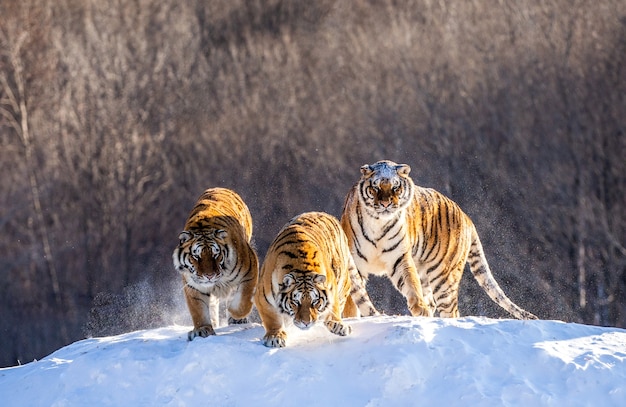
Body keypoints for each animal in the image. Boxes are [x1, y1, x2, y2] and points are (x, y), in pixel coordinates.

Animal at [172, 188, 258, 342]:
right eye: (196, 256)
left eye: (215, 255)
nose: (209, 276)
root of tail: (220, 188)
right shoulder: (193, 285)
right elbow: (198, 310)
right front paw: (203, 330)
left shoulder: (250, 271)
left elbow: (244, 300)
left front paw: (235, 314)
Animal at [254, 212, 376, 350]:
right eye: (296, 302)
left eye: (315, 301)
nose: (306, 323)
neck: (301, 267)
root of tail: (329, 215)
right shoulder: (263, 298)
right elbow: (272, 319)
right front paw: (275, 337)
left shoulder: (331, 286)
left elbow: (334, 307)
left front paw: (338, 325)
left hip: (343, 280)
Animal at [342, 160, 536, 322]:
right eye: (375, 188)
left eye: (396, 187)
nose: (385, 204)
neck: (378, 223)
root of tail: (466, 217)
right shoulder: (355, 262)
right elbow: (353, 296)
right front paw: (351, 317)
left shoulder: (399, 258)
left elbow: (411, 283)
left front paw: (419, 309)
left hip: (443, 277)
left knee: (451, 310)